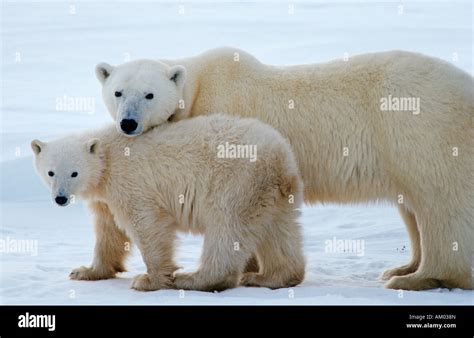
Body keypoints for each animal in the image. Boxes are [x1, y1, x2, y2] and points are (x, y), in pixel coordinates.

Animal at [97, 47, 474, 290]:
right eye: (117, 92)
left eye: (149, 94)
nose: (128, 123)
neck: (197, 89)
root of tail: (466, 89)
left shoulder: (225, 119)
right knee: (411, 204)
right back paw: (404, 266)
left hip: (419, 128)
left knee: (438, 201)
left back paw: (418, 278)